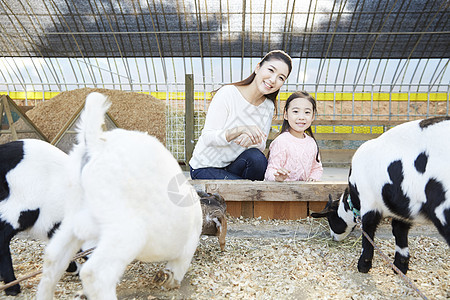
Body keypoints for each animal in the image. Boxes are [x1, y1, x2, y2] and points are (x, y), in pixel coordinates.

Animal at [37, 92, 202, 298]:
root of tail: (96, 146)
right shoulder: (187, 247)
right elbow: (178, 266)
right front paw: (170, 280)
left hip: (72, 222)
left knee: (53, 260)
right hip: (126, 232)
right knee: (95, 273)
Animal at [312, 116, 450, 274]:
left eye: (331, 219)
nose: (333, 237)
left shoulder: (369, 204)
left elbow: (368, 232)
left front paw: (363, 265)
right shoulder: (402, 211)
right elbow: (399, 232)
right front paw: (400, 267)